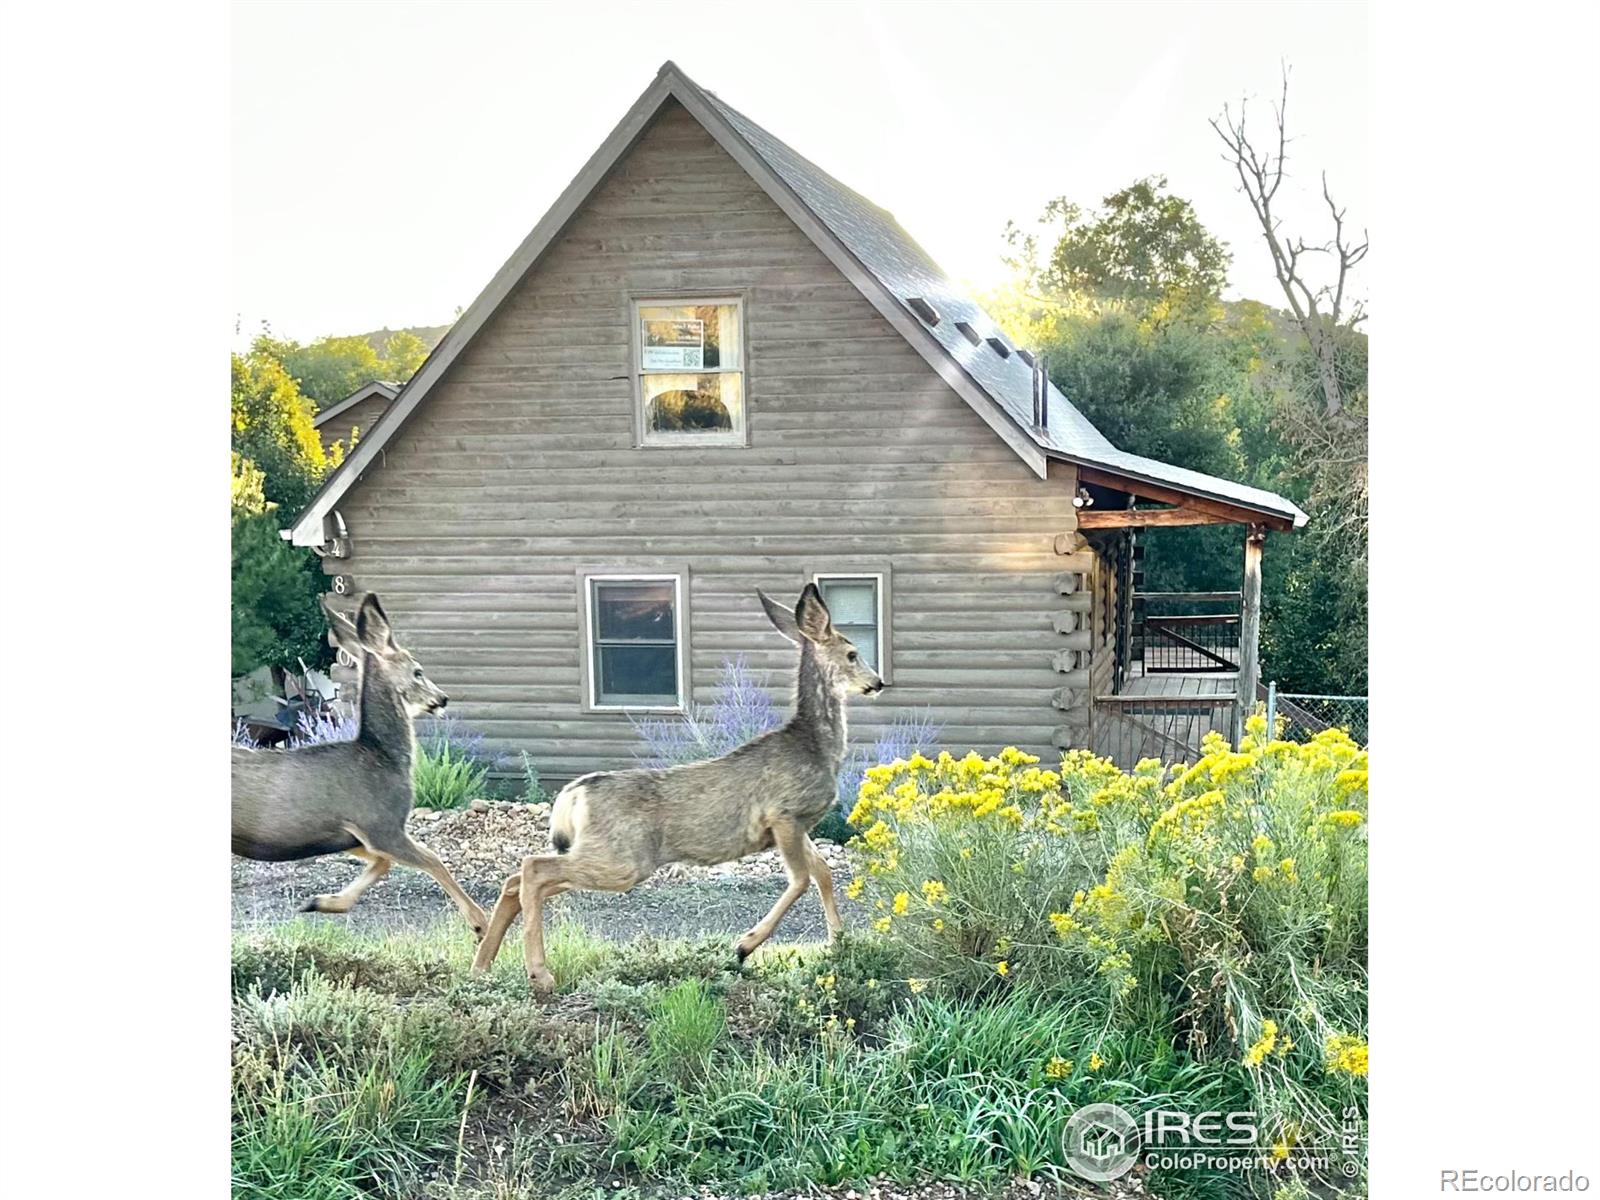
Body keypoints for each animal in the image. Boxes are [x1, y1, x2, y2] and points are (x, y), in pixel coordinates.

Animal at [228, 595, 483, 940]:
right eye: (418, 671)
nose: (442, 698)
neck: (382, 756)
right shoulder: (381, 823)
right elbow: (433, 860)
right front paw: (480, 923)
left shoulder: (349, 835)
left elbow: (382, 864)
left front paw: (321, 902)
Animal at [467, 585, 889, 998]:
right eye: (852, 654)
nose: (878, 682)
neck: (815, 747)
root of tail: (572, 795)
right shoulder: (784, 813)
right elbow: (801, 879)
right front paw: (744, 945)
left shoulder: (799, 826)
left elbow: (823, 874)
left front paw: (839, 943)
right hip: (623, 859)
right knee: (531, 868)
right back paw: (539, 974)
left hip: (605, 855)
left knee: (516, 881)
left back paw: (482, 965)